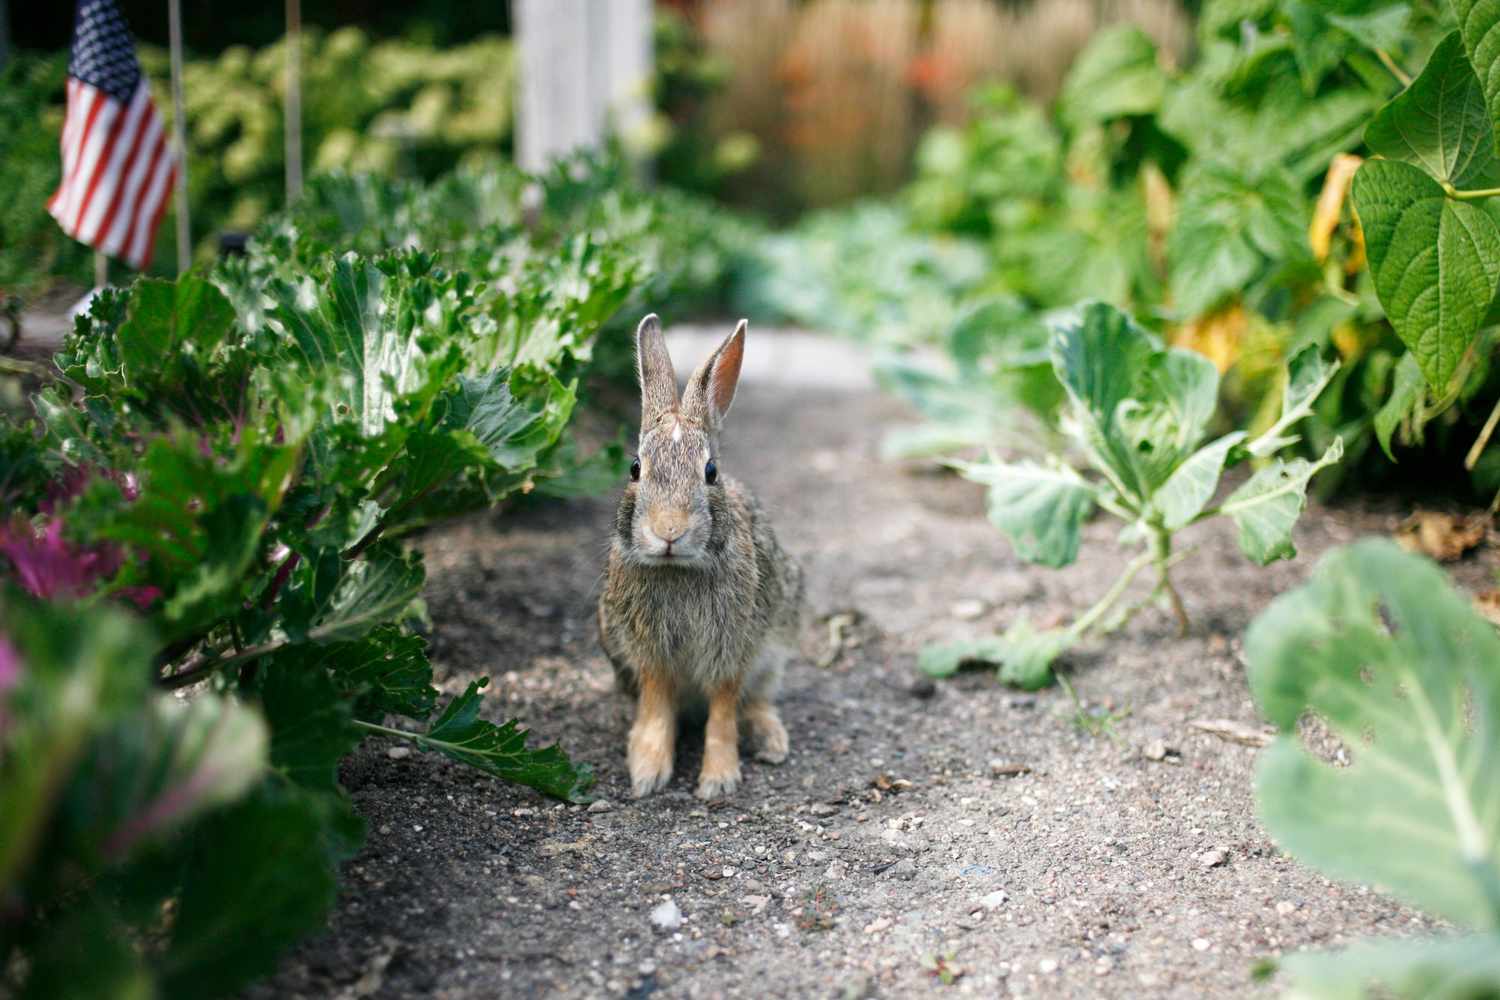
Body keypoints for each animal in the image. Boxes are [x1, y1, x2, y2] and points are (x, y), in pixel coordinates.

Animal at [598, 314, 805, 800]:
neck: (677, 568)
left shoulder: (733, 647)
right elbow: (658, 704)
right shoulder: (649, 654)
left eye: (710, 472)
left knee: (758, 699)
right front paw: (646, 771)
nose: (668, 531)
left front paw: (719, 779)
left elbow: (724, 708)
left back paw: (770, 741)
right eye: (635, 468)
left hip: (777, 647)